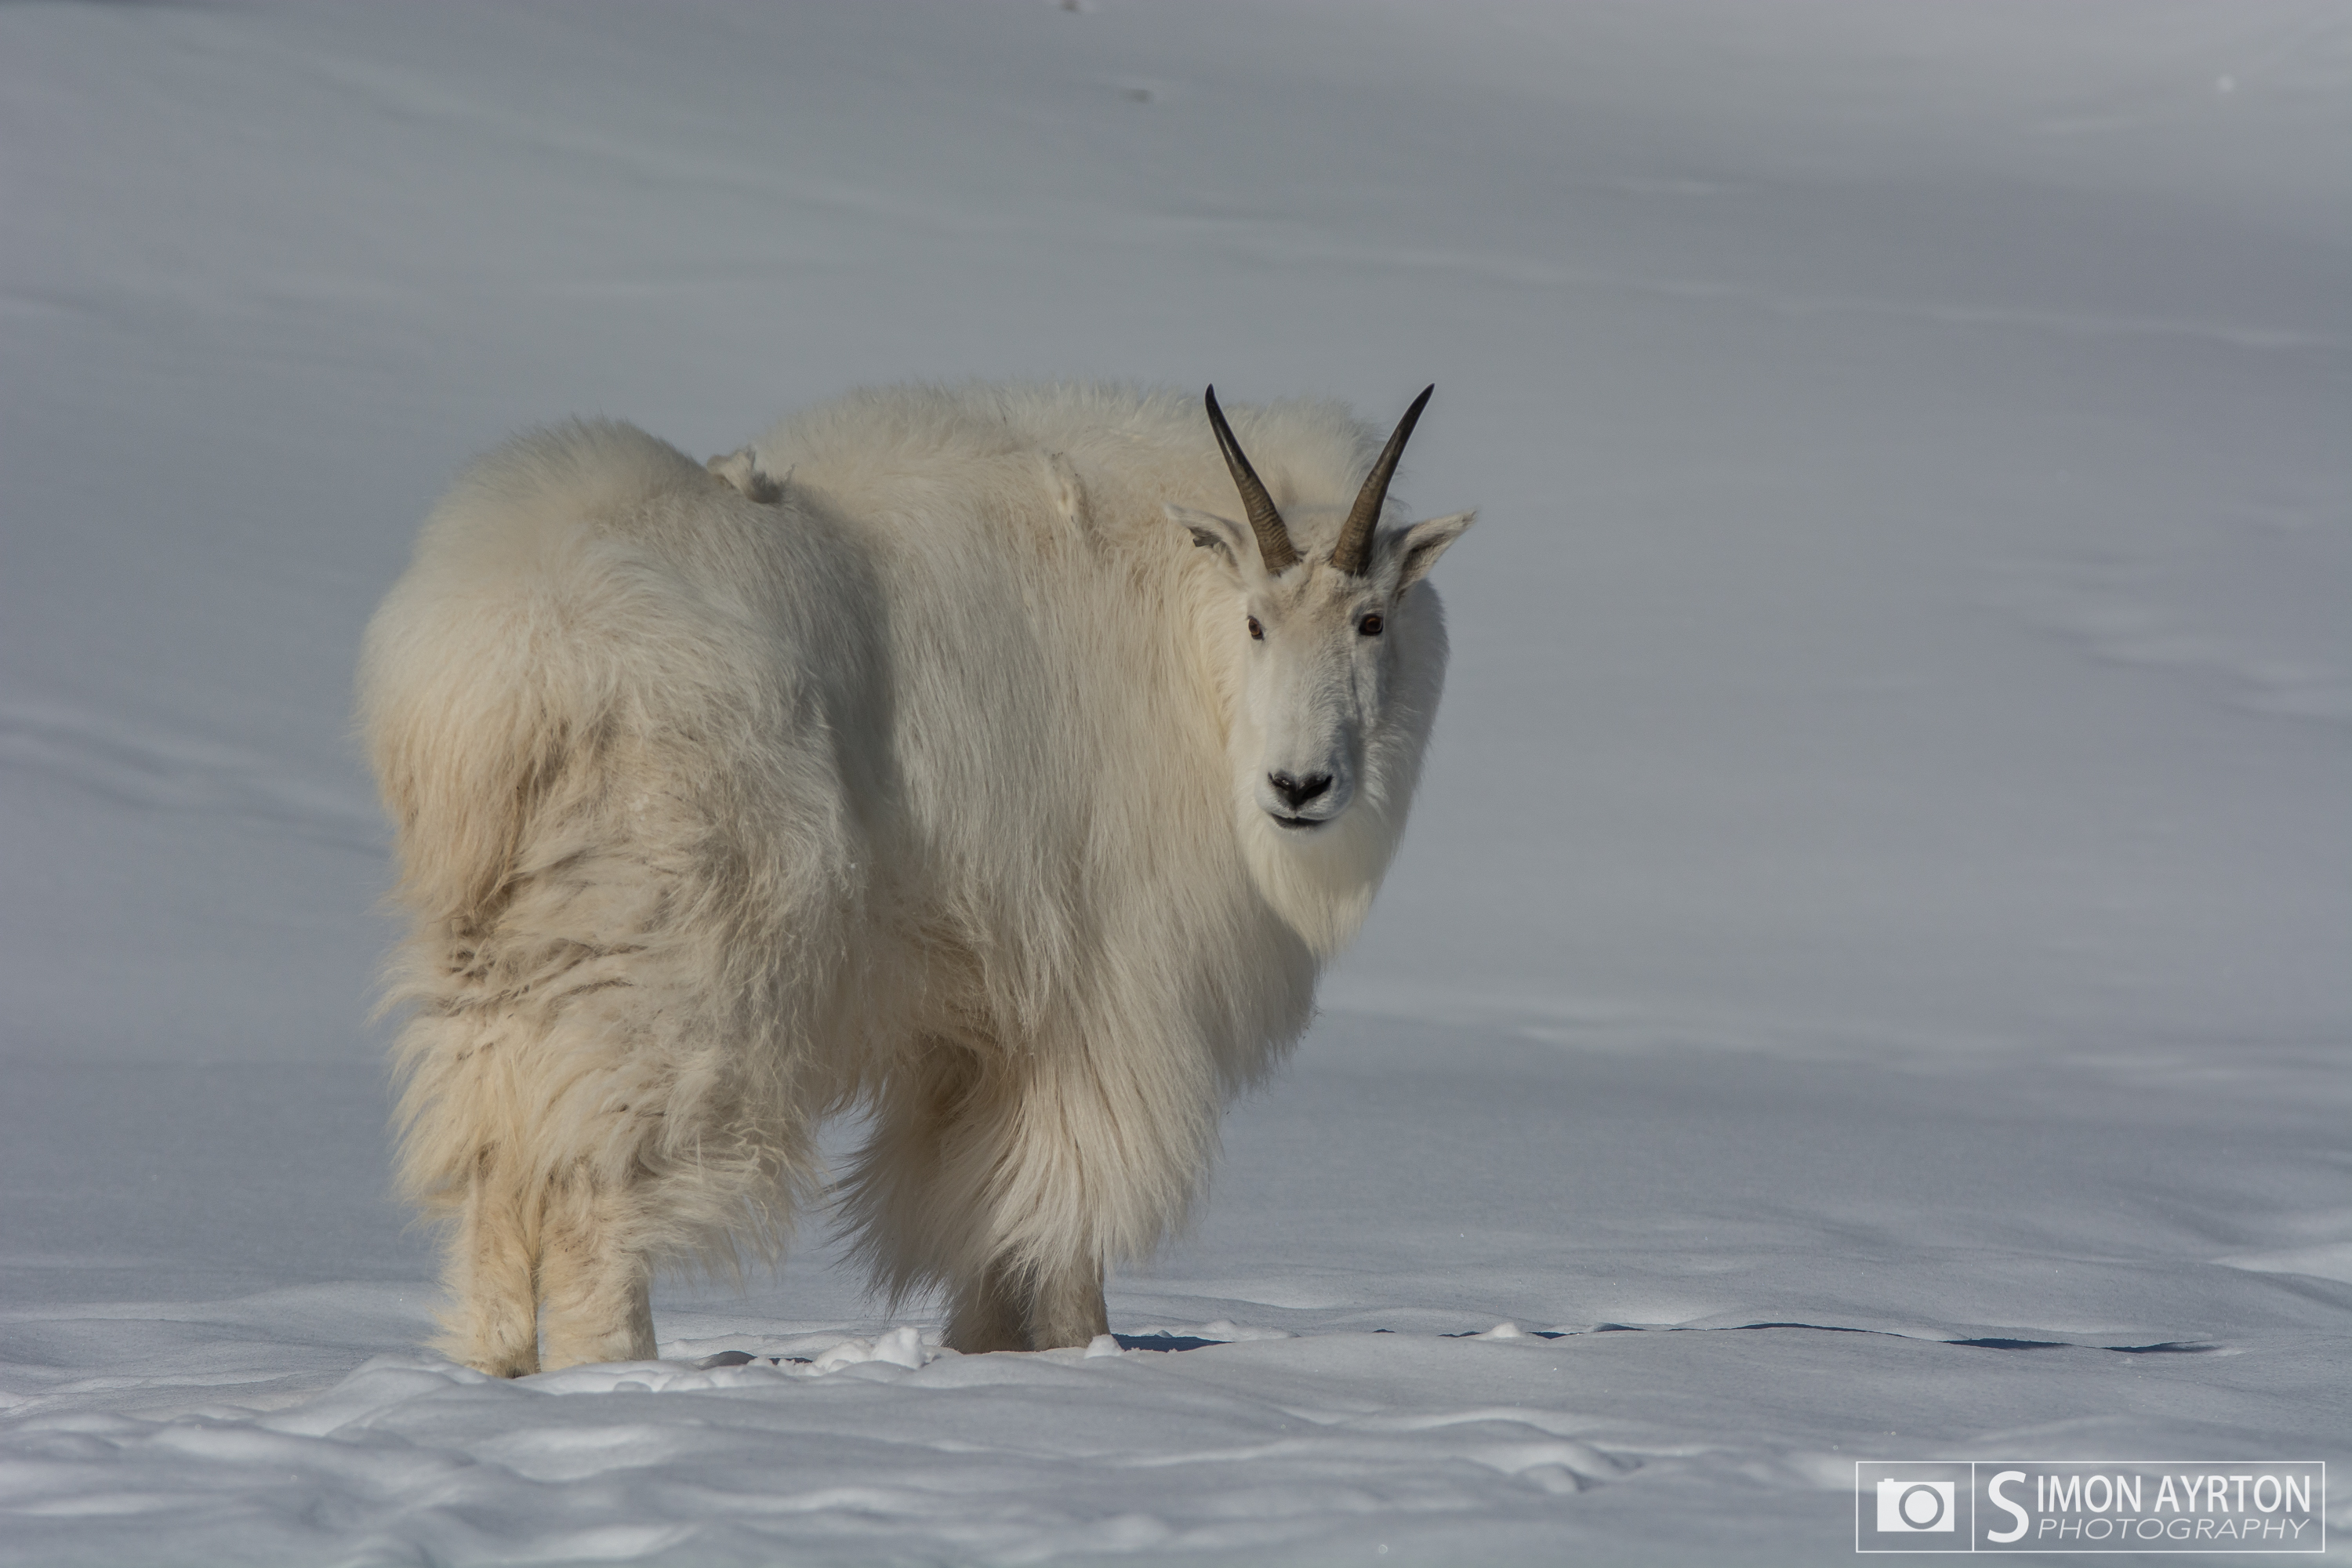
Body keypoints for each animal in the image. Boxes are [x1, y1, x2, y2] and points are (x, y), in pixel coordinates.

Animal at [358, 383, 1468, 1373]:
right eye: (1255, 621)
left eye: (1373, 619)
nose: (1301, 785)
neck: (1177, 637)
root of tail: (498, 679)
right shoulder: (1102, 990)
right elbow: (1065, 1200)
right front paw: (1085, 1353)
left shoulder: (978, 1031)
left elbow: (983, 1200)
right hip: (662, 966)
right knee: (596, 1188)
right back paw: (619, 1371)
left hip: (498, 960)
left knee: (492, 1168)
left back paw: (492, 1367)